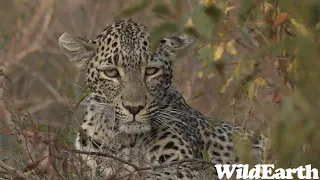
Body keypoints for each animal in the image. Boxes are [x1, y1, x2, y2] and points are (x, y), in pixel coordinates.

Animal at [58, 19, 268, 179]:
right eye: (111, 73)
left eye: (151, 71)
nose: (134, 108)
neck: (124, 139)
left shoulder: (190, 166)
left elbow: (151, 176)